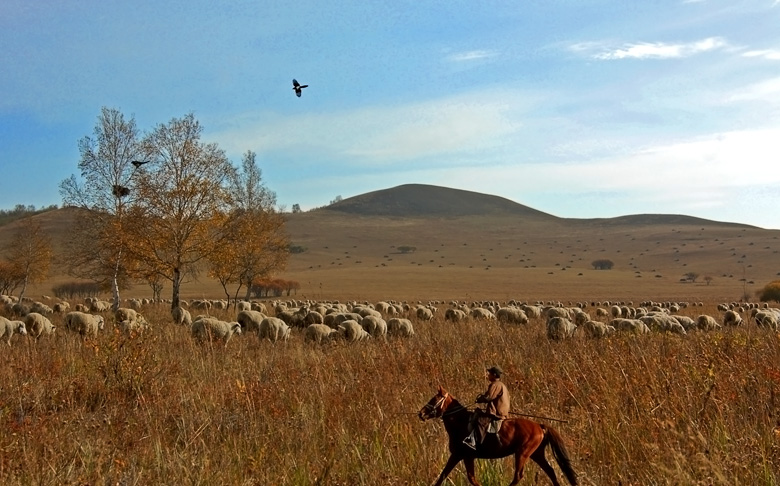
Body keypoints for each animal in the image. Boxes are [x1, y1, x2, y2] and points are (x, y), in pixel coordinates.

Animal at [418, 388, 576, 486]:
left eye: (434, 399)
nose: (421, 413)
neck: (460, 422)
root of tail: (539, 426)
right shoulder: (462, 456)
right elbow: (448, 476)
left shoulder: (462, 455)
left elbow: (465, 478)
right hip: (536, 454)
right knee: (551, 471)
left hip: (522, 453)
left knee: (518, 476)